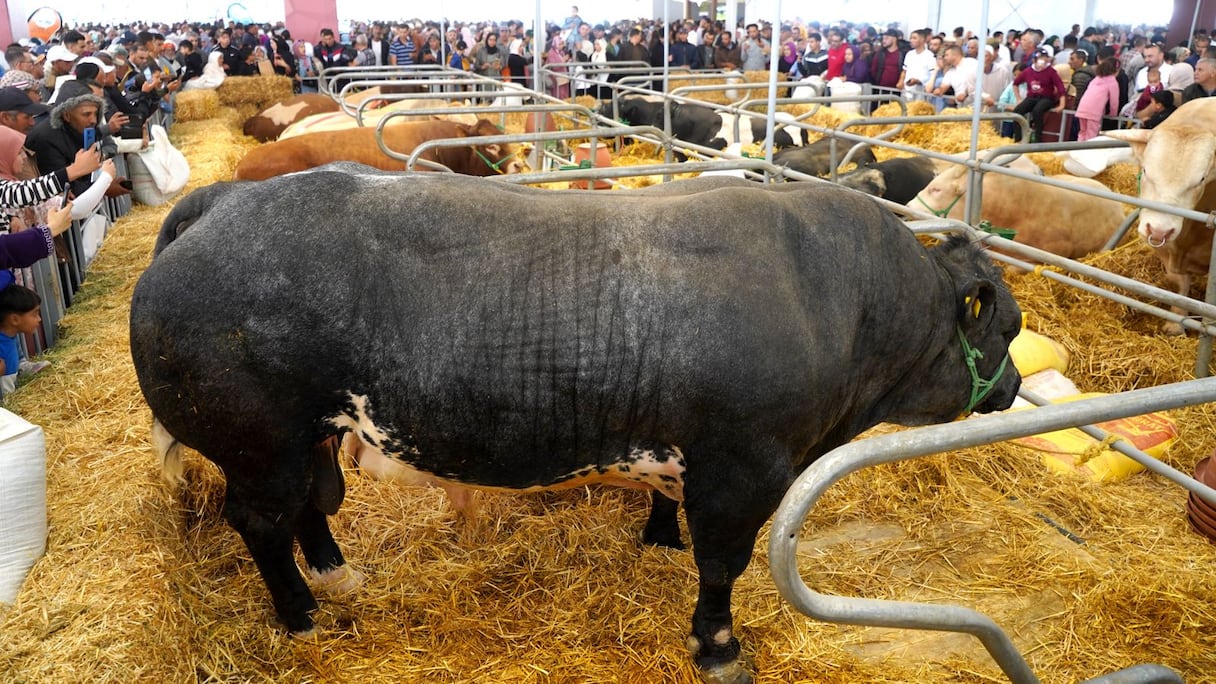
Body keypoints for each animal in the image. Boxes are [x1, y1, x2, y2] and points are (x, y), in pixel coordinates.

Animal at [130, 169, 1022, 684]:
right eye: (1007, 328)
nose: (1011, 388)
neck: (842, 301)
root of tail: (222, 200)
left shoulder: (687, 450)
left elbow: (669, 506)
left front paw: (658, 538)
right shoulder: (746, 466)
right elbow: (724, 566)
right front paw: (718, 648)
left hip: (300, 436)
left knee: (310, 507)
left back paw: (336, 575)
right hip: (257, 441)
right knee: (262, 521)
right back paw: (299, 614)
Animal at [1106, 98, 1216, 335]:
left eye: (1202, 179)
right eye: (1145, 170)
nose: (1159, 229)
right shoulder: (1165, 250)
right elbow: (1179, 285)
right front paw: (1175, 324)